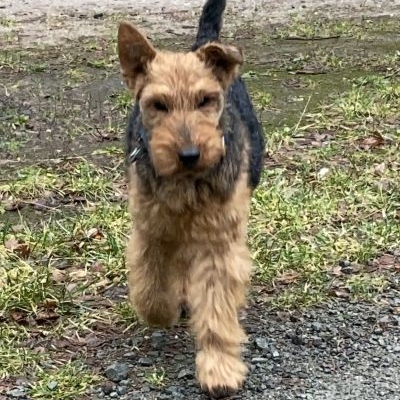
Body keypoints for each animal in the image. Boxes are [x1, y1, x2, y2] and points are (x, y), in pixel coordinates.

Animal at [117, 0, 264, 396]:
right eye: (158, 104)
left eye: (205, 100)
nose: (189, 155)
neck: (185, 184)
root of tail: (204, 41)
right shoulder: (151, 229)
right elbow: (151, 288)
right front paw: (163, 311)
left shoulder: (218, 242)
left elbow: (216, 309)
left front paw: (219, 369)